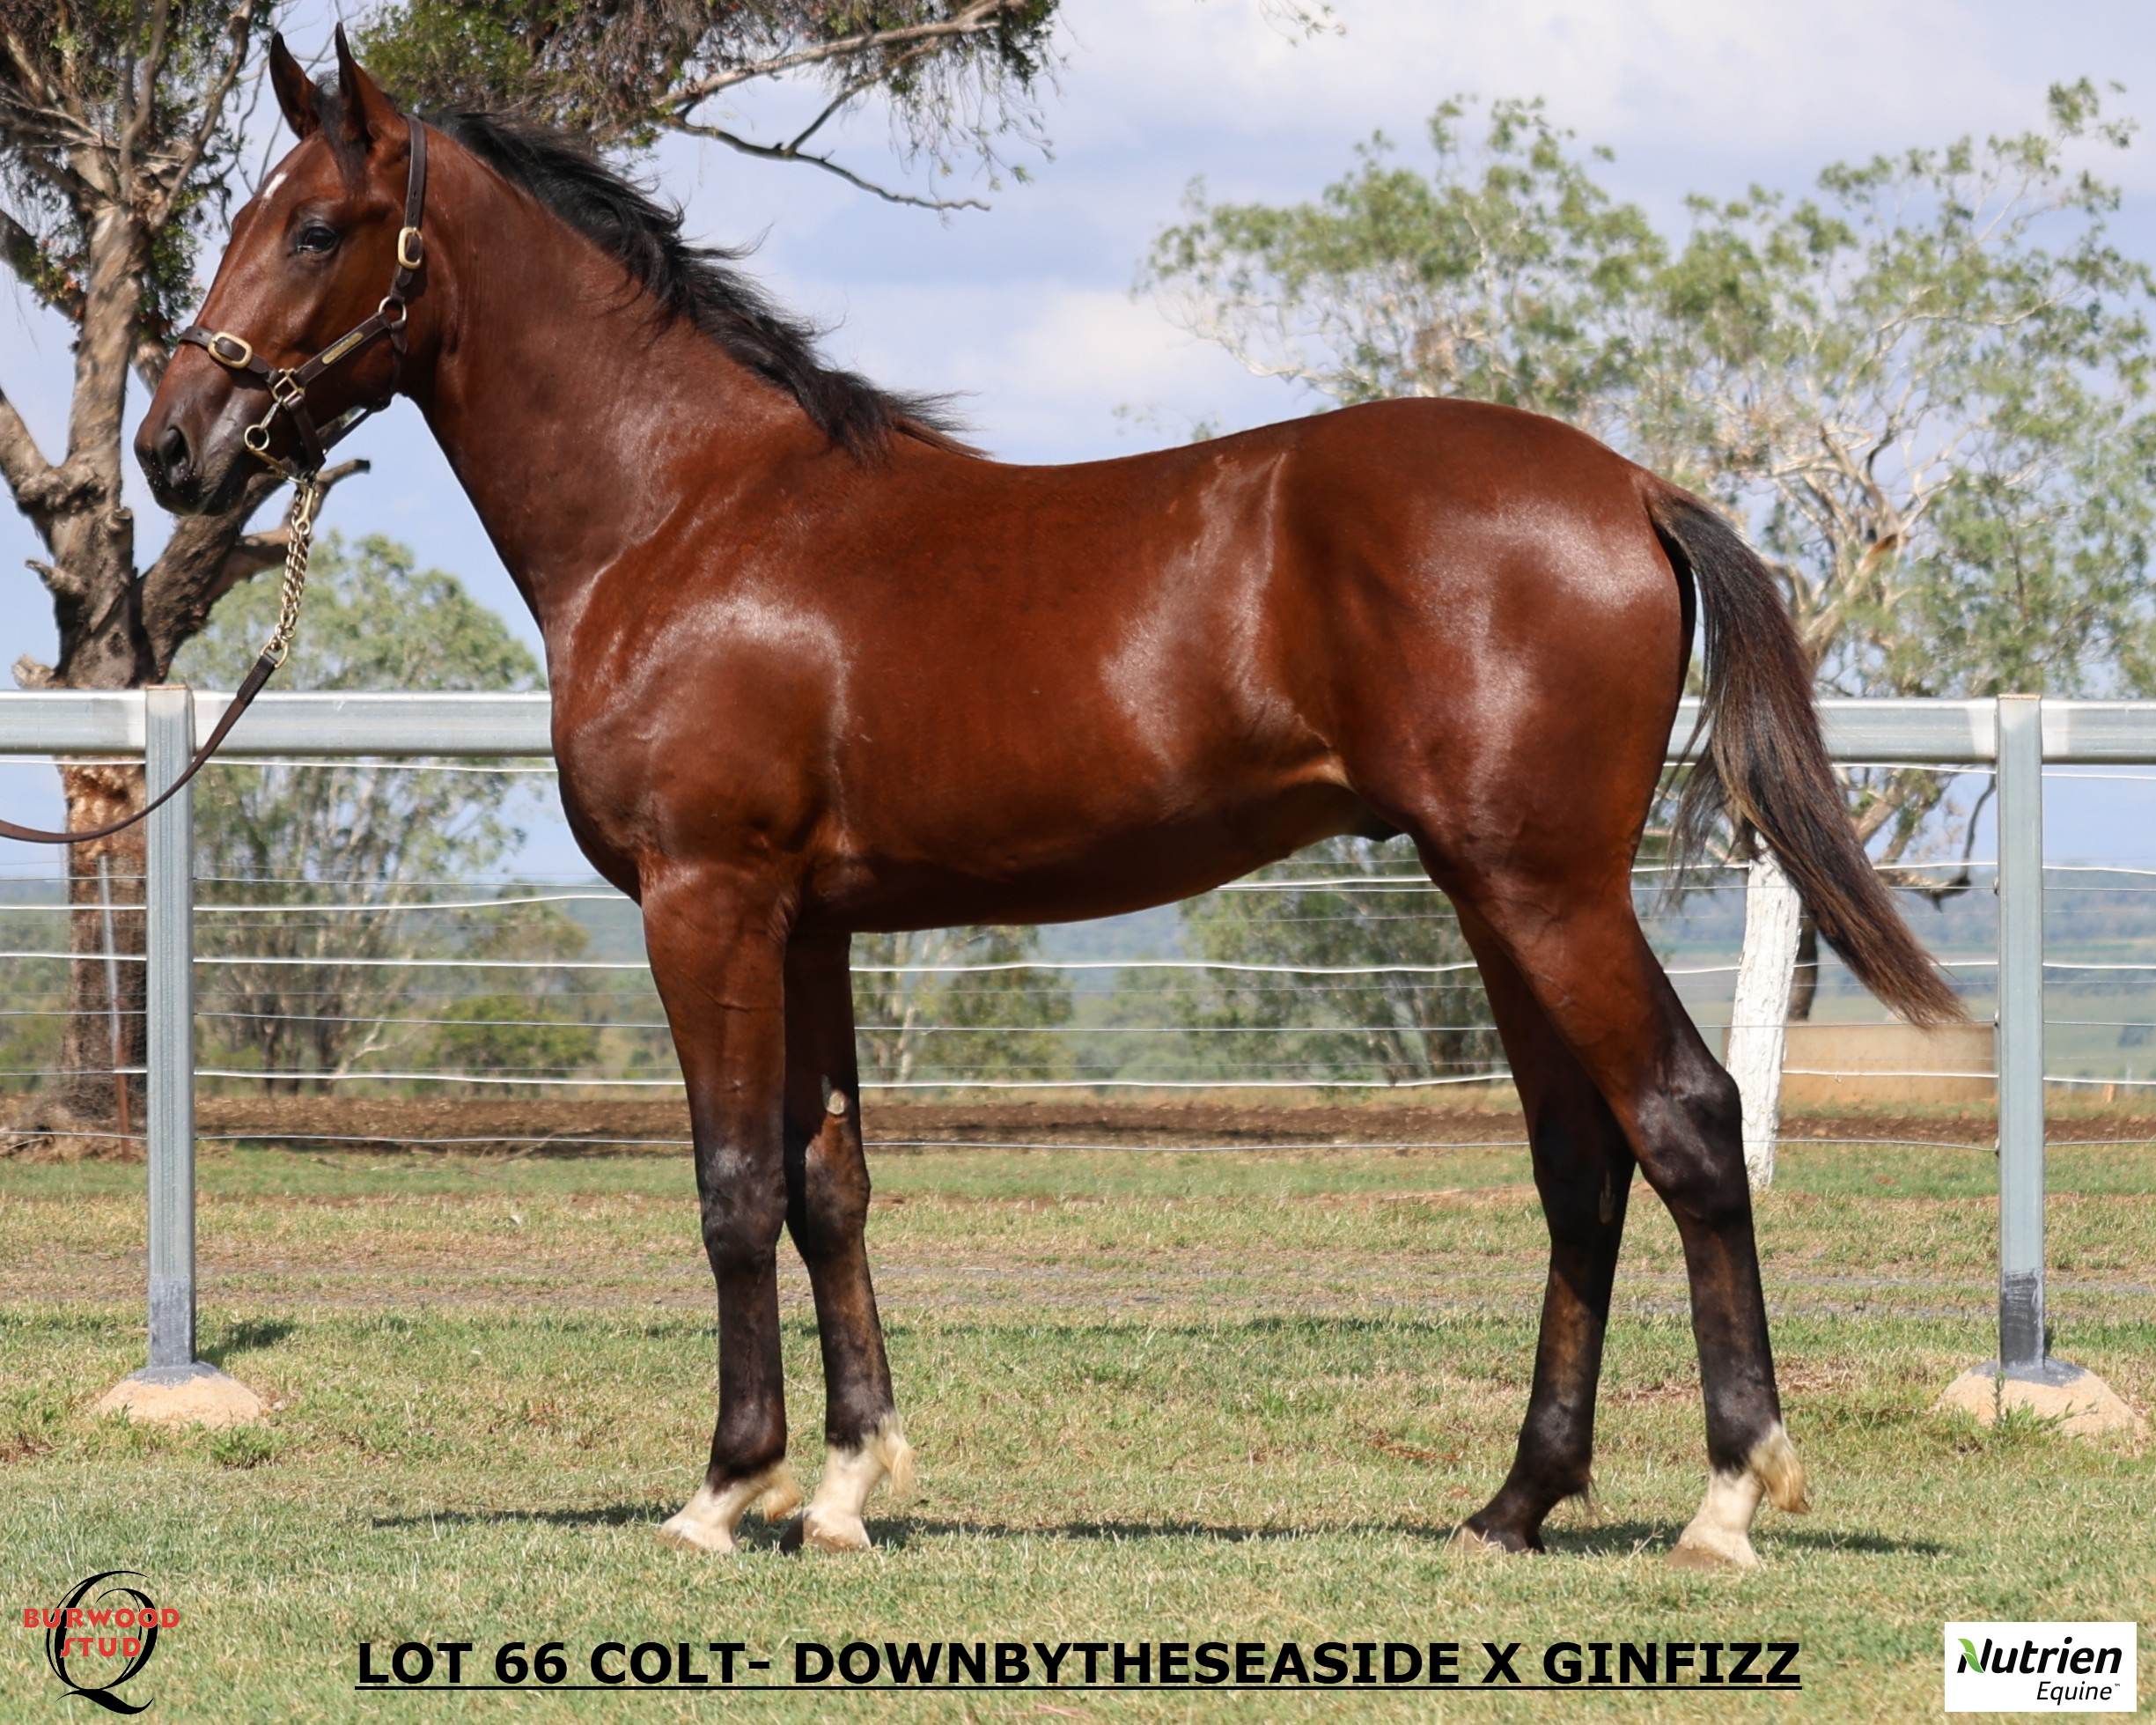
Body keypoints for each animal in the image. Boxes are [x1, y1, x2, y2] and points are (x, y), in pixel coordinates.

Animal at [137, 30, 1958, 1570]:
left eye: (317, 226)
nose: (172, 444)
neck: (685, 509)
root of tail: (1630, 486)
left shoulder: (703, 897)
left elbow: (730, 1187)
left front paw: (726, 1483)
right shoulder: (807, 923)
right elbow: (825, 1184)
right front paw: (847, 1485)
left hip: (1544, 886)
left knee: (1685, 1120)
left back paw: (1725, 1497)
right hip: (1492, 891)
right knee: (1578, 1162)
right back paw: (1512, 1501)